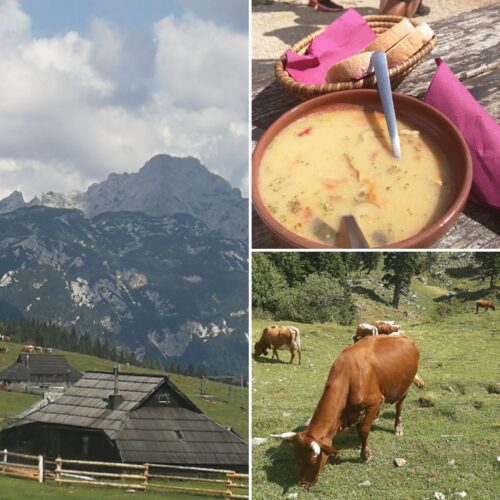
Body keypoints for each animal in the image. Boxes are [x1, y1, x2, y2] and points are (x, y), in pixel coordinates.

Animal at [272, 334, 420, 486]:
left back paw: (398, 428)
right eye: (296, 458)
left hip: (404, 388)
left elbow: (363, 429)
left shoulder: (375, 402)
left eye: (313, 462)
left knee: (399, 407)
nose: (303, 483)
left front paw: (365, 455)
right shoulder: (356, 410)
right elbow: (360, 427)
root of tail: (402, 336)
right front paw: (359, 445)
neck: (348, 376)